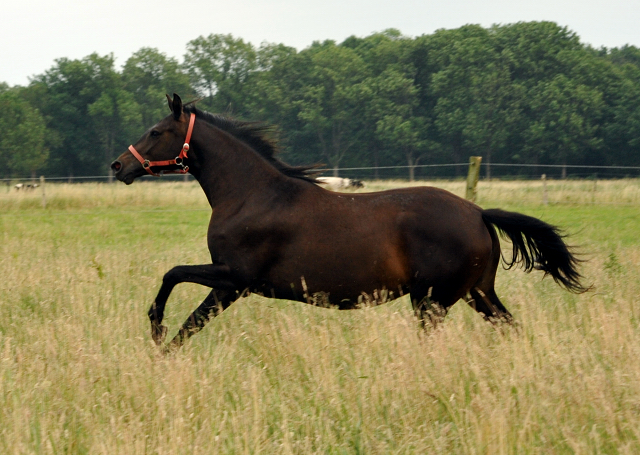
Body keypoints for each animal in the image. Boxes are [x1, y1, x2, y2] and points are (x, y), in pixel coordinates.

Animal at [111, 94, 592, 352]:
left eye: (156, 132)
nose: (118, 166)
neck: (252, 194)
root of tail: (478, 212)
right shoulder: (232, 284)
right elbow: (187, 318)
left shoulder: (235, 278)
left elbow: (175, 283)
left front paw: (155, 333)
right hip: (477, 293)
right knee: (512, 329)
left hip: (432, 301)